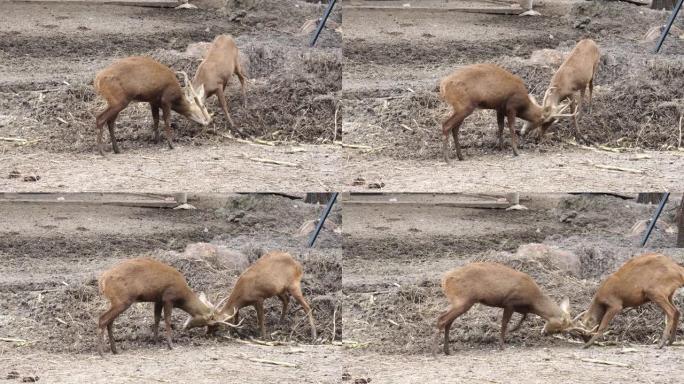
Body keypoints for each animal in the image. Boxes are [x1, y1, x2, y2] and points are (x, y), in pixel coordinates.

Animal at [96, 258, 235, 356]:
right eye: (213, 323)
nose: (211, 334)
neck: (182, 294)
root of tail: (102, 280)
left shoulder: (158, 299)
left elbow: (156, 318)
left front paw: (155, 341)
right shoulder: (169, 297)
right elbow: (167, 320)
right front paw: (170, 345)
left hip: (117, 301)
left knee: (109, 321)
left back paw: (114, 350)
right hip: (122, 300)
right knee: (103, 319)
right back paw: (102, 352)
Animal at [432, 262, 576, 356]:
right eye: (560, 327)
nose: (545, 333)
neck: (533, 299)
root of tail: (444, 280)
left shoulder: (519, 306)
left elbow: (524, 315)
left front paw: (514, 329)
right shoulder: (509, 302)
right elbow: (504, 323)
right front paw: (502, 345)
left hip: (459, 301)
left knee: (448, 321)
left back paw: (447, 350)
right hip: (463, 299)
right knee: (442, 319)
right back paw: (435, 352)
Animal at [438, 64, 572, 162]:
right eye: (544, 121)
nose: (539, 136)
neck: (523, 103)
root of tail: (443, 86)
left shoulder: (499, 108)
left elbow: (500, 126)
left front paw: (500, 147)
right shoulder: (511, 107)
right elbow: (511, 127)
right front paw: (516, 151)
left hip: (462, 107)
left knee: (455, 128)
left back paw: (460, 156)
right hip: (464, 106)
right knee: (446, 125)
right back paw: (447, 159)